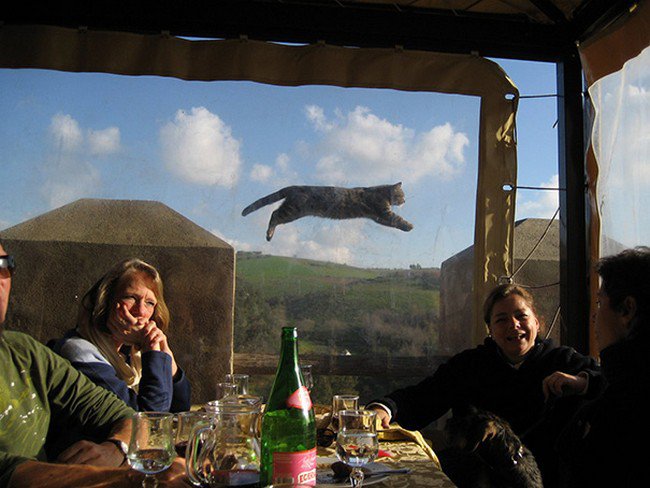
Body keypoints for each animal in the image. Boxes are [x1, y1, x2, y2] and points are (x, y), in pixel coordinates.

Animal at [240, 182, 412, 241]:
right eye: (402, 194)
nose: (405, 200)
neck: (383, 193)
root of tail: (293, 187)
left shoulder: (378, 217)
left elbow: (392, 222)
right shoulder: (383, 211)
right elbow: (397, 219)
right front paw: (409, 225)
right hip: (292, 210)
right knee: (274, 215)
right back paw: (269, 235)